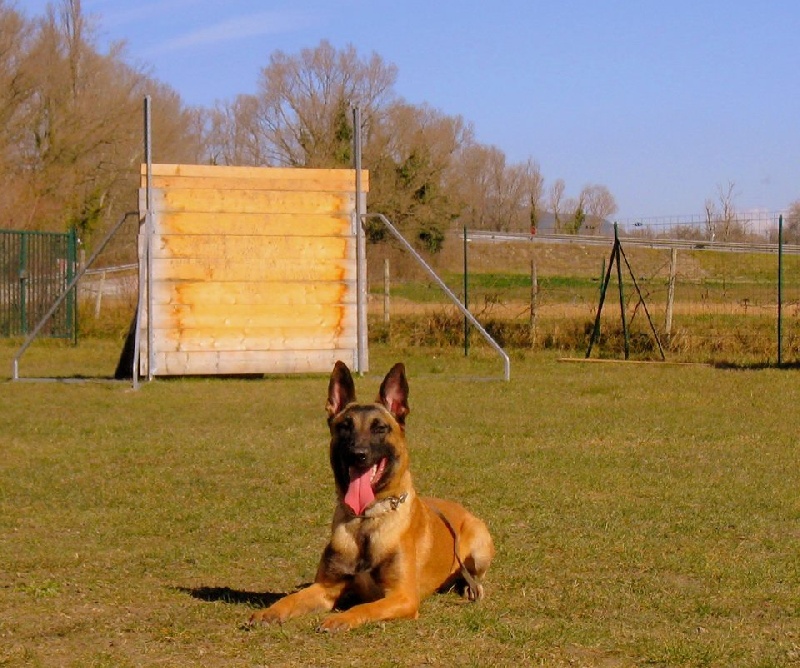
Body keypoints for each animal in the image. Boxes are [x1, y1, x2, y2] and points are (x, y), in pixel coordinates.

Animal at [250, 362, 496, 628]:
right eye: (344, 427)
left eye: (379, 428)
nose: (358, 454)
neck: (366, 520)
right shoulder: (325, 588)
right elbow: (292, 598)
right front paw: (270, 611)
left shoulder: (402, 596)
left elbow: (365, 607)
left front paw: (341, 619)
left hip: (479, 549)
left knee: (471, 575)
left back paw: (469, 587)